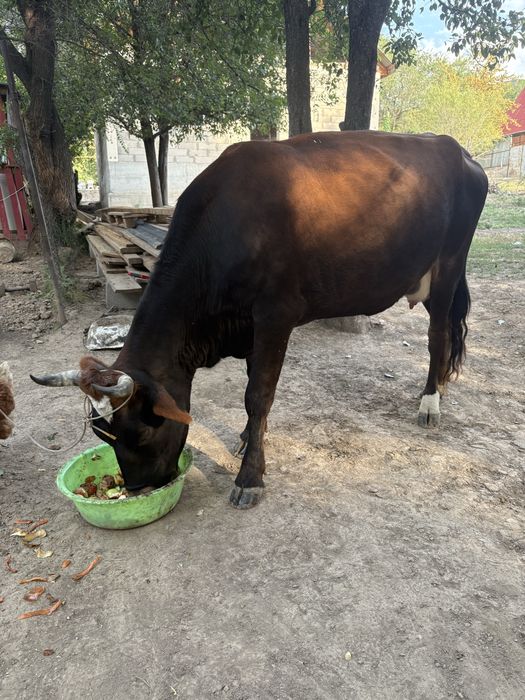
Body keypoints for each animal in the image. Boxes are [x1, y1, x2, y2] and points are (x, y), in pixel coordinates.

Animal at [31, 131, 488, 508]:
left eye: (141, 432)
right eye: (102, 435)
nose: (140, 488)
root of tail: (454, 147)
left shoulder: (275, 315)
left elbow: (258, 394)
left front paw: (249, 477)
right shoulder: (248, 327)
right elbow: (253, 390)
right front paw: (248, 438)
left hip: (448, 267)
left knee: (438, 335)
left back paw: (430, 403)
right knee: (446, 336)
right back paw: (440, 389)